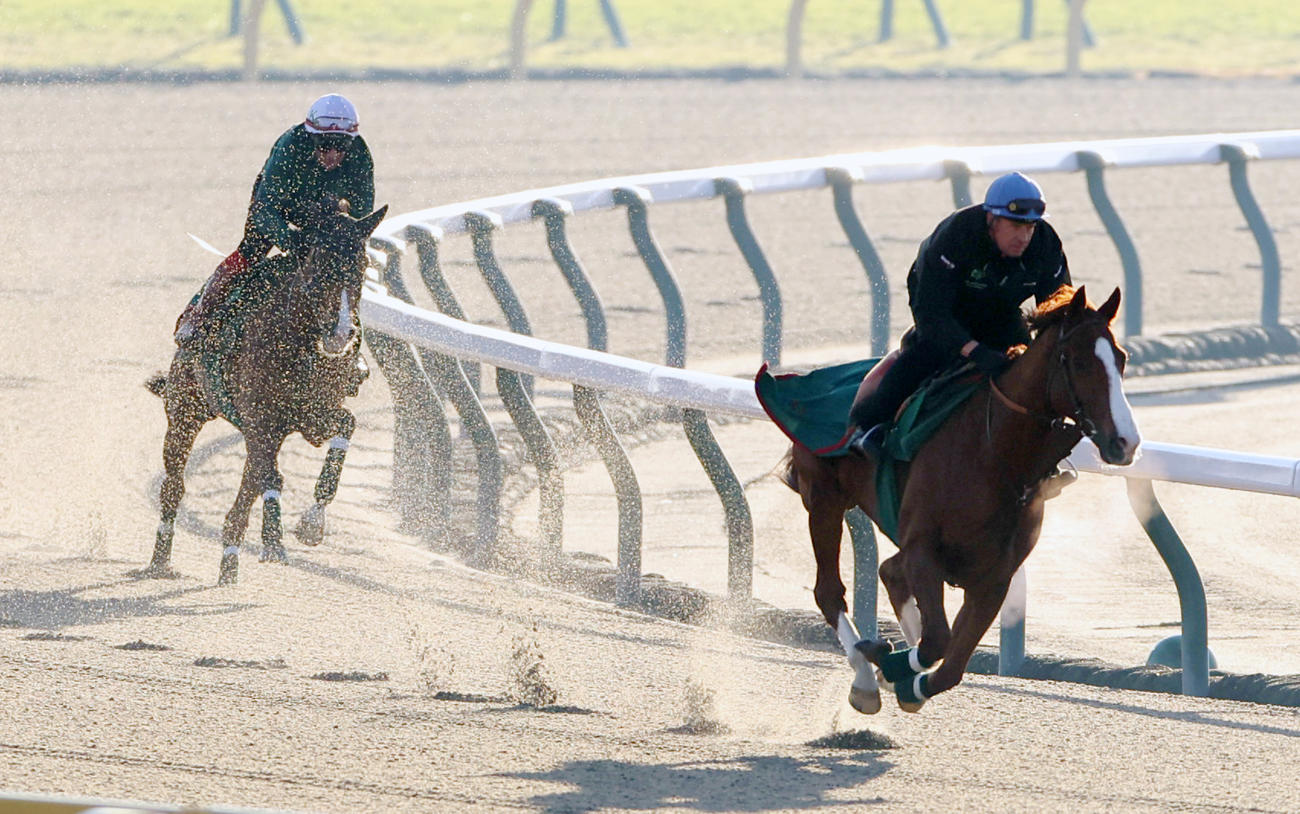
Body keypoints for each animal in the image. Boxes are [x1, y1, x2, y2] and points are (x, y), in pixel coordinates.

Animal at [142, 202, 388, 585]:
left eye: (363, 264)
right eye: (317, 261)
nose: (340, 333)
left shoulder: (316, 415)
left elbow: (346, 428)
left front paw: (312, 524)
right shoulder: (261, 418)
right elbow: (271, 476)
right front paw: (274, 541)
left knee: (248, 486)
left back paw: (229, 564)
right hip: (185, 410)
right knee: (174, 488)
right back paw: (160, 563)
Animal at [779, 285, 1140, 713]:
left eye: (1121, 359)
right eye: (1080, 362)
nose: (1125, 442)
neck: (994, 454)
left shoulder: (993, 576)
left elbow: (950, 665)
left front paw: (905, 680)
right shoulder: (924, 550)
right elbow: (938, 640)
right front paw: (887, 662)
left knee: (889, 571)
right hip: (825, 500)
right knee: (830, 591)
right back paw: (866, 681)